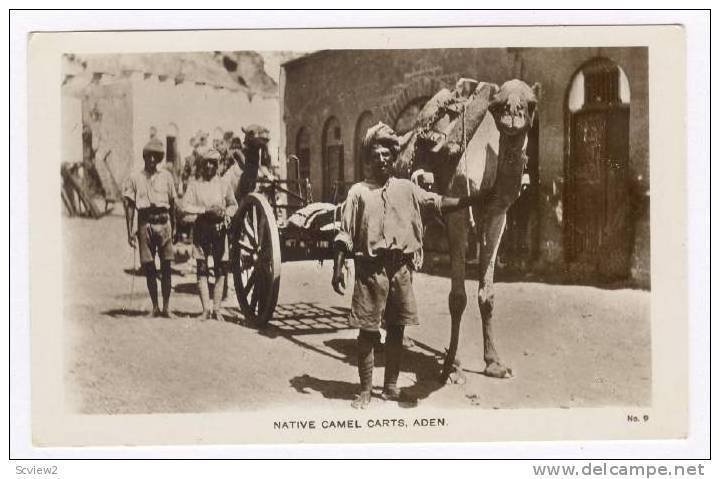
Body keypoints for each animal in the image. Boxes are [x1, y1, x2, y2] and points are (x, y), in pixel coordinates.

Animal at [394, 80, 540, 384]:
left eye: (531, 103)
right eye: (497, 104)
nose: (513, 113)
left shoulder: (498, 215)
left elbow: (487, 294)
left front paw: (495, 363)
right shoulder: (457, 212)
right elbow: (457, 297)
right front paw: (452, 366)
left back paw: (404, 338)